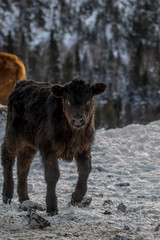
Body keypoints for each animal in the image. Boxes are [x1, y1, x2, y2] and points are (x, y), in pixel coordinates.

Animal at [1, 79, 106, 216]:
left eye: (88, 100)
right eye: (67, 101)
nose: (78, 120)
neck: (73, 133)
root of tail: (22, 83)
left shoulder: (84, 147)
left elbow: (85, 169)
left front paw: (75, 198)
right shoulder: (48, 148)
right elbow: (52, 174)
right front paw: (52, 207)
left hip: (30, 143)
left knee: (23, 165)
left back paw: (24, 198)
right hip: (13, 134)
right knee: (7, 155)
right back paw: (7, 195)